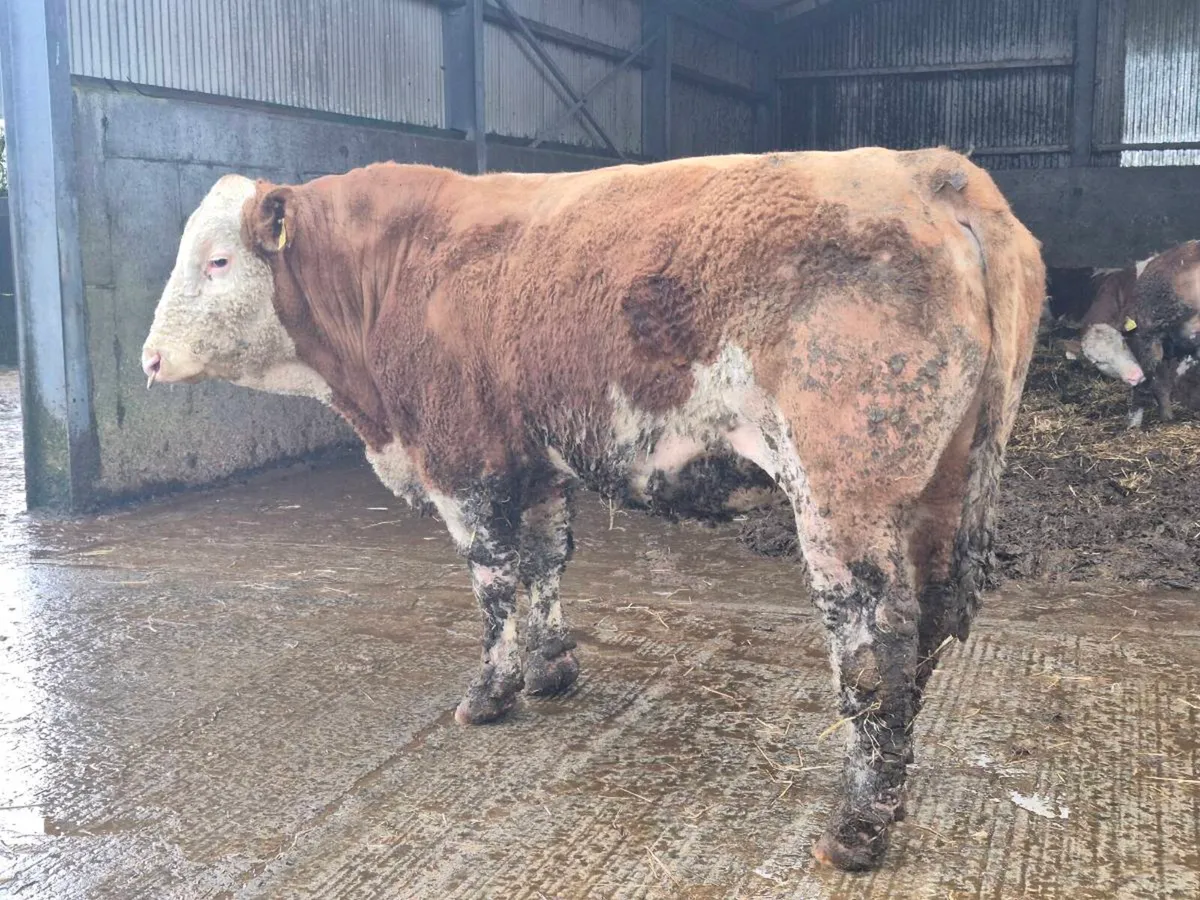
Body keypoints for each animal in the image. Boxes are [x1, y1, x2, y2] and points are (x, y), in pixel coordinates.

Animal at [141, 148, 1045, 871]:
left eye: (217, 261)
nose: (148, 359)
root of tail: (932, 172)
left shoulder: (462, 460)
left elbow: (494, 581)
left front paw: (491, 693)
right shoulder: (538, 461)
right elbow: (544, 563)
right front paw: (551, 669)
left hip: (843, 491)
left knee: (876, 646)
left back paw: (856, 828)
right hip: (938, 486)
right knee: (929, 630)